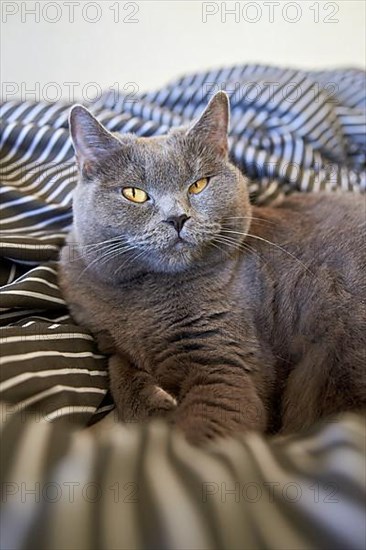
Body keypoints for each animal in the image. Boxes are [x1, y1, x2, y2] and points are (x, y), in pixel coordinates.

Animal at [58, 90, 364, 444]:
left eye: (199, 185)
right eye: (134, 193)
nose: (177, 218)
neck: (145, 296)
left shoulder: (221, 360)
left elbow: (207, 429)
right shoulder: (103, 333)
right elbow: (117, 367)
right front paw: (155, 408)